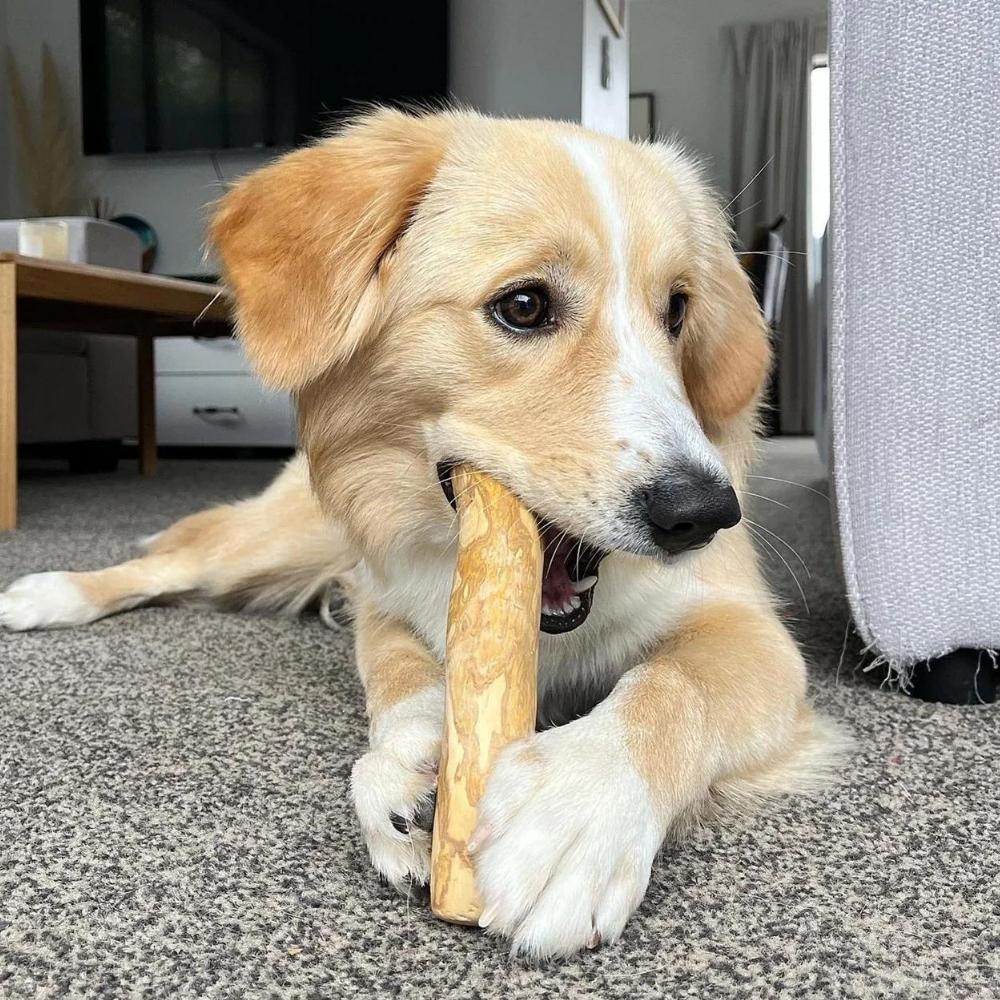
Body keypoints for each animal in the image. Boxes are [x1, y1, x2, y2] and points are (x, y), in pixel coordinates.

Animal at [0, 110, 844, 959]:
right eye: (525, 305)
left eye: (676, 310)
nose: (701, 513)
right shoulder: (383, 597)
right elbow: (401, 678)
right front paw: (409, 761)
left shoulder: (752, 633)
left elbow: (671, 685)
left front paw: (579, 804)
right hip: (274, 545)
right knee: (168, 563)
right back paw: (48, 593)